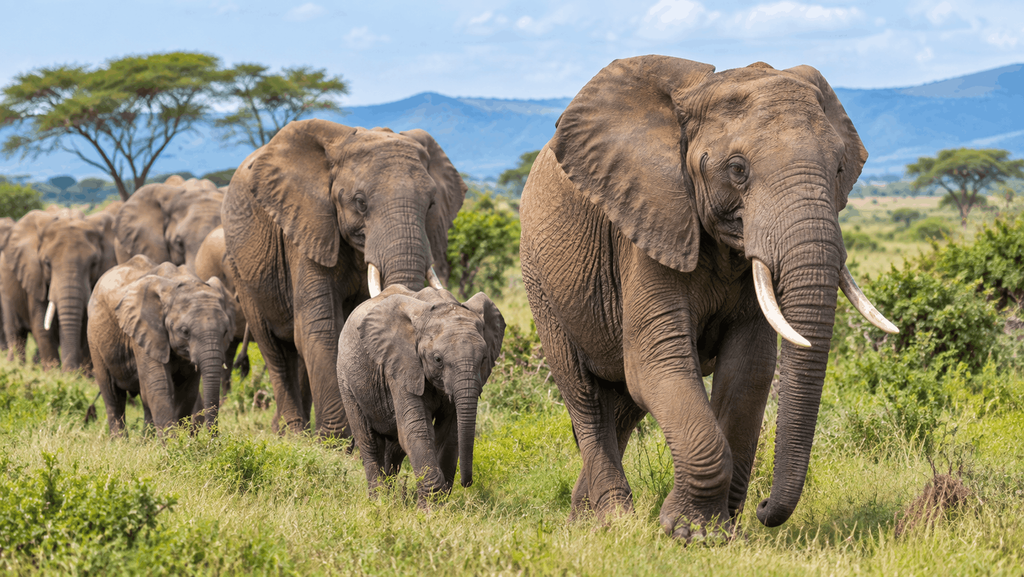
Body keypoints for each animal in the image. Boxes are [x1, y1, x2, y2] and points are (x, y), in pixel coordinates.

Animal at [1, 209, 115, 369]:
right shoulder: (34, 275)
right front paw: (52, 372)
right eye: (47, 263)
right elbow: (42, 327)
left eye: (94, 263)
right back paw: (15, 366)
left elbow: (87, 327)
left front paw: (82, 374)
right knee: (16, 333)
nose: (70, 371)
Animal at [87, 255, 236, 435]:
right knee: (112, 395)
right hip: (94, 337)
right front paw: (172, 442)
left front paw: (182, 439)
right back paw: (119, 440)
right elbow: (159, 386)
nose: (212, 437)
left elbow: (187, 392)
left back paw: (146, 439)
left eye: (225, 331)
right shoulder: (145, 329)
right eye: (185, 331)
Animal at [223, 119, 466, 438]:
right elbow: (322, 327)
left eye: (431, 204)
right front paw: (336, 442)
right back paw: (293, 433)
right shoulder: (308, 227)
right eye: (360, 202)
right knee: (275, 350)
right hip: (241, 267)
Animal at [336, 285, 505, 502]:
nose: (467, 483)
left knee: (395, 449)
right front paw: (430, 506)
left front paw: (440, 502)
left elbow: (450, 433)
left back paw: (392, 499)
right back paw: (379, 501)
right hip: (346, 378)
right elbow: (416, 429)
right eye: (438, 359)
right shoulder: (401, 366)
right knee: (369, 442)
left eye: (484, 358)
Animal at [519, 56, 898, 539]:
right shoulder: (649, 222)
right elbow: (658, 362)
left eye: (837, 169)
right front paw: (691, 533)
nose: (763, 508)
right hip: (540, 279)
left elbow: (750, 369)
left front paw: (721, 531)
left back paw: (581, 517)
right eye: (737, 169)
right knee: (585, 395)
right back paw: (613, 521)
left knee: (622, 405)